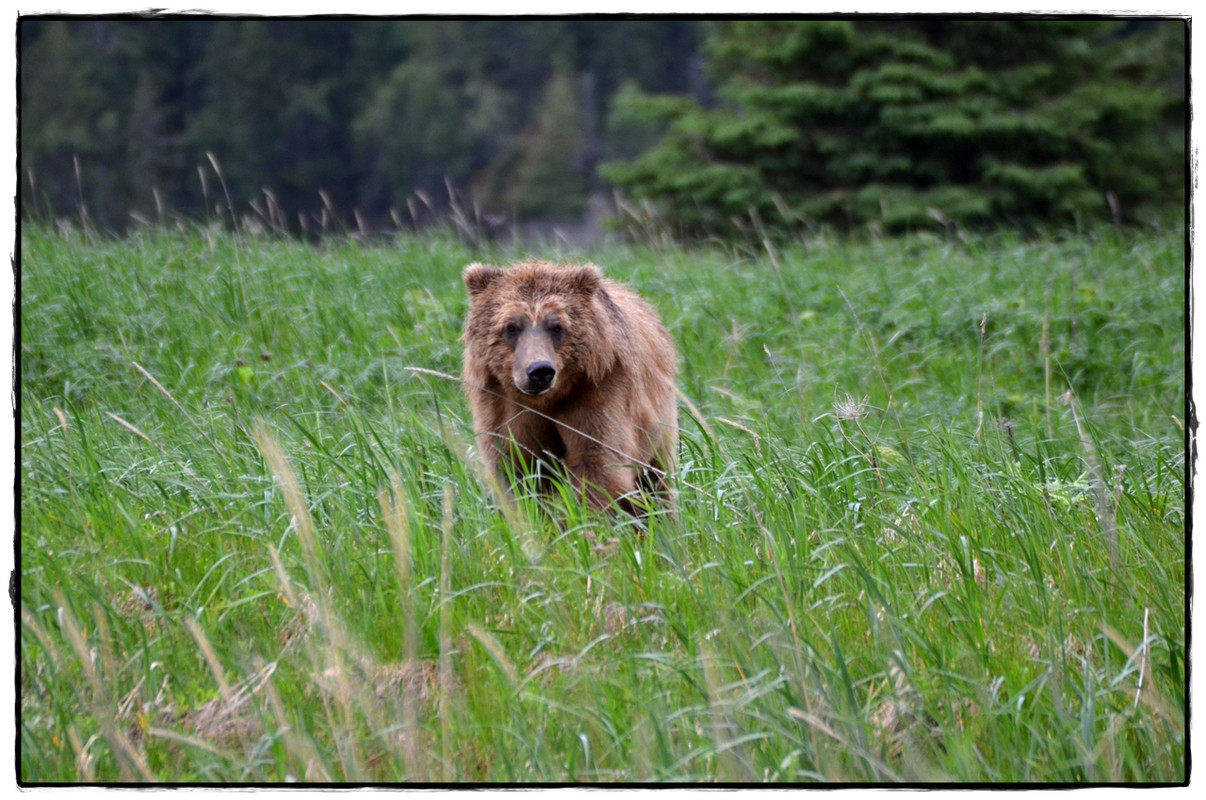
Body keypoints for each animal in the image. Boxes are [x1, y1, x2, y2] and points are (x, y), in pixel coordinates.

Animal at [460, 259, 680, 516]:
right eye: (511, 326)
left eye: (557, 326)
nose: (540, 371)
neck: (548, 399)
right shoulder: (502, 404)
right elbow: (515, 466)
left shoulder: (598, 393)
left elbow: (596, 463)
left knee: (656, 480)